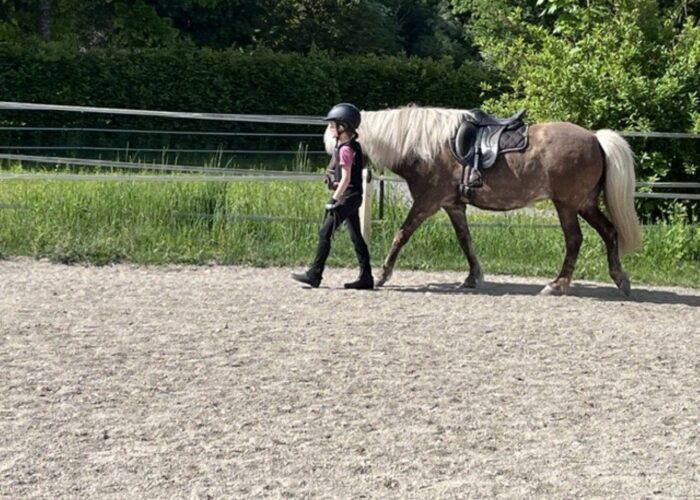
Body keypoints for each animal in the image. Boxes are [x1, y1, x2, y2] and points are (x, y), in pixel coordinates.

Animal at [324, 106, 642, 296]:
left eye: (339, 142)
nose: (329, 178)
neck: (426, 148)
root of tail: (595, 138)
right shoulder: (453, 205)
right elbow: (466, 240)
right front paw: (472, 278)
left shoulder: (427, 203)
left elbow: (401, 235)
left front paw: (381, 276)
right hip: (584, 203)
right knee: (609, 232)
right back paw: (620, 280)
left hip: (567, 204)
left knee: (575, 239)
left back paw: (557, 284)